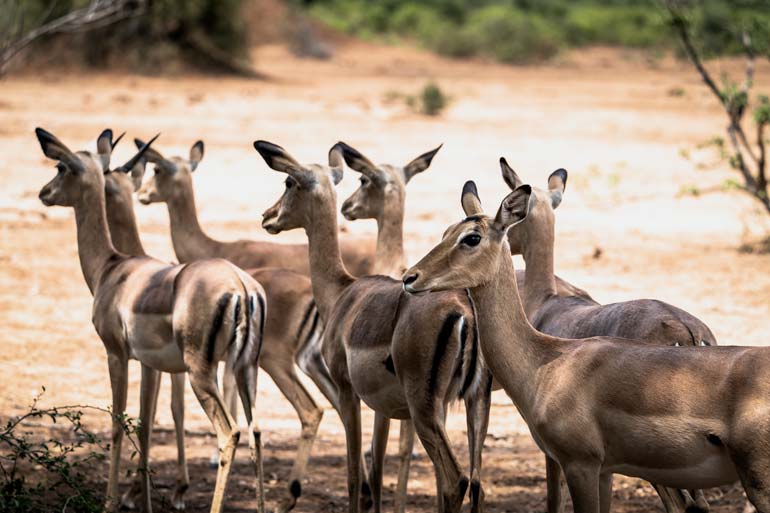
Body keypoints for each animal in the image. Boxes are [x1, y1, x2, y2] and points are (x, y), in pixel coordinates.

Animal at [34, 127, 266, 512]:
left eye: (61, 167)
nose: (44, 192)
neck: (112, 267)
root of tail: (240, 286)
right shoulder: (150, 365)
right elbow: (143, 425)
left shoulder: (116, 354)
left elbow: (117, 423)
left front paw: (111, 502)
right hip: (245, 369)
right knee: (256, 430)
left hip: (202, 373)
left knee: (229, 432)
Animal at [133, 138, 356, 510]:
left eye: (158, 168)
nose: (143, 194)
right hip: (309, 362)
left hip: (277, 362)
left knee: (312, 411)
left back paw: (292, 494)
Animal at [255, 140, 488, 512]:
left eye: (289, 182)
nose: (268, 216)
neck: (342, 292)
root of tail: (464, 312)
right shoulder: (386, 408)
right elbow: (377, 471)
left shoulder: (348, 392)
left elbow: (355, 475)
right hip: (471, 402)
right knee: (475, 482)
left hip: (425, 409)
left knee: (455, 481)